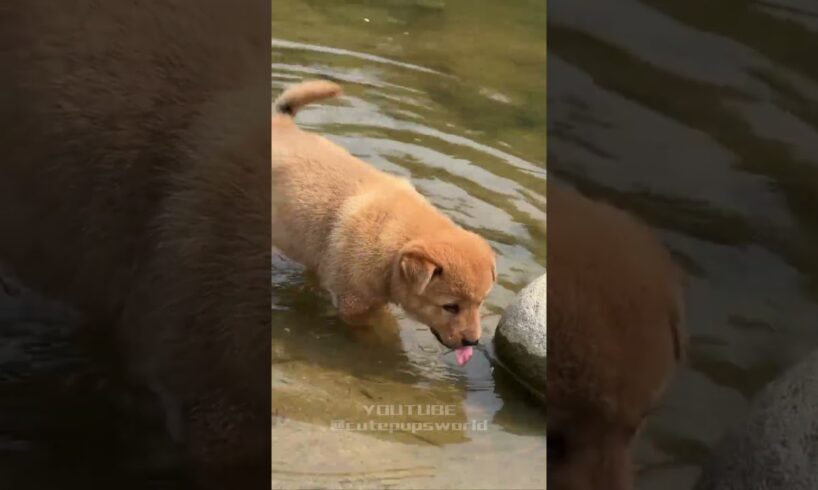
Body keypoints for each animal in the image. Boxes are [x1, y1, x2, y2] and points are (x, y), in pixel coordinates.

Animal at [270, 80, 494, 356]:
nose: (472, 341)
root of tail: (280, 123)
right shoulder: (353, 303)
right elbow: (376, 332)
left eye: (480, 303)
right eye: (450, 307)